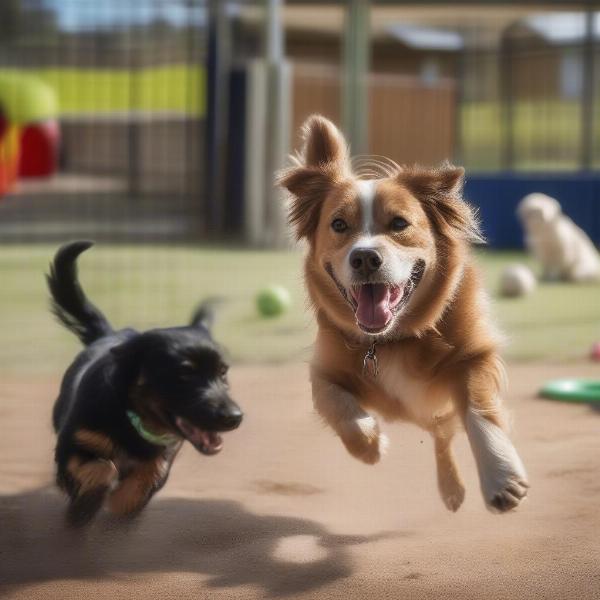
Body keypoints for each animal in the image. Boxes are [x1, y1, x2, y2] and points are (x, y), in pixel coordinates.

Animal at [48, 241, 243, 528]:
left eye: (223, 372)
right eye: (184, 374)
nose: (235, 417)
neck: (133, 418)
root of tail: (110, 334)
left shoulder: (163, 456)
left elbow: (146, 477)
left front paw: (120, 506)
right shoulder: (69, 449)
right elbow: (103, 467)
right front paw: (90, 501)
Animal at [278, 116, 528, 510]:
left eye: (398, 224)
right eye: (338, 224)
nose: (365, 258)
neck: (392, 340)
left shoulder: (475, 356)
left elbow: (478, 410)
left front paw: (501, 476)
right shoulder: (324, 370)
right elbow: (338, 406)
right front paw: (369, 444)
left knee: (443, 434)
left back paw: (452, 487)